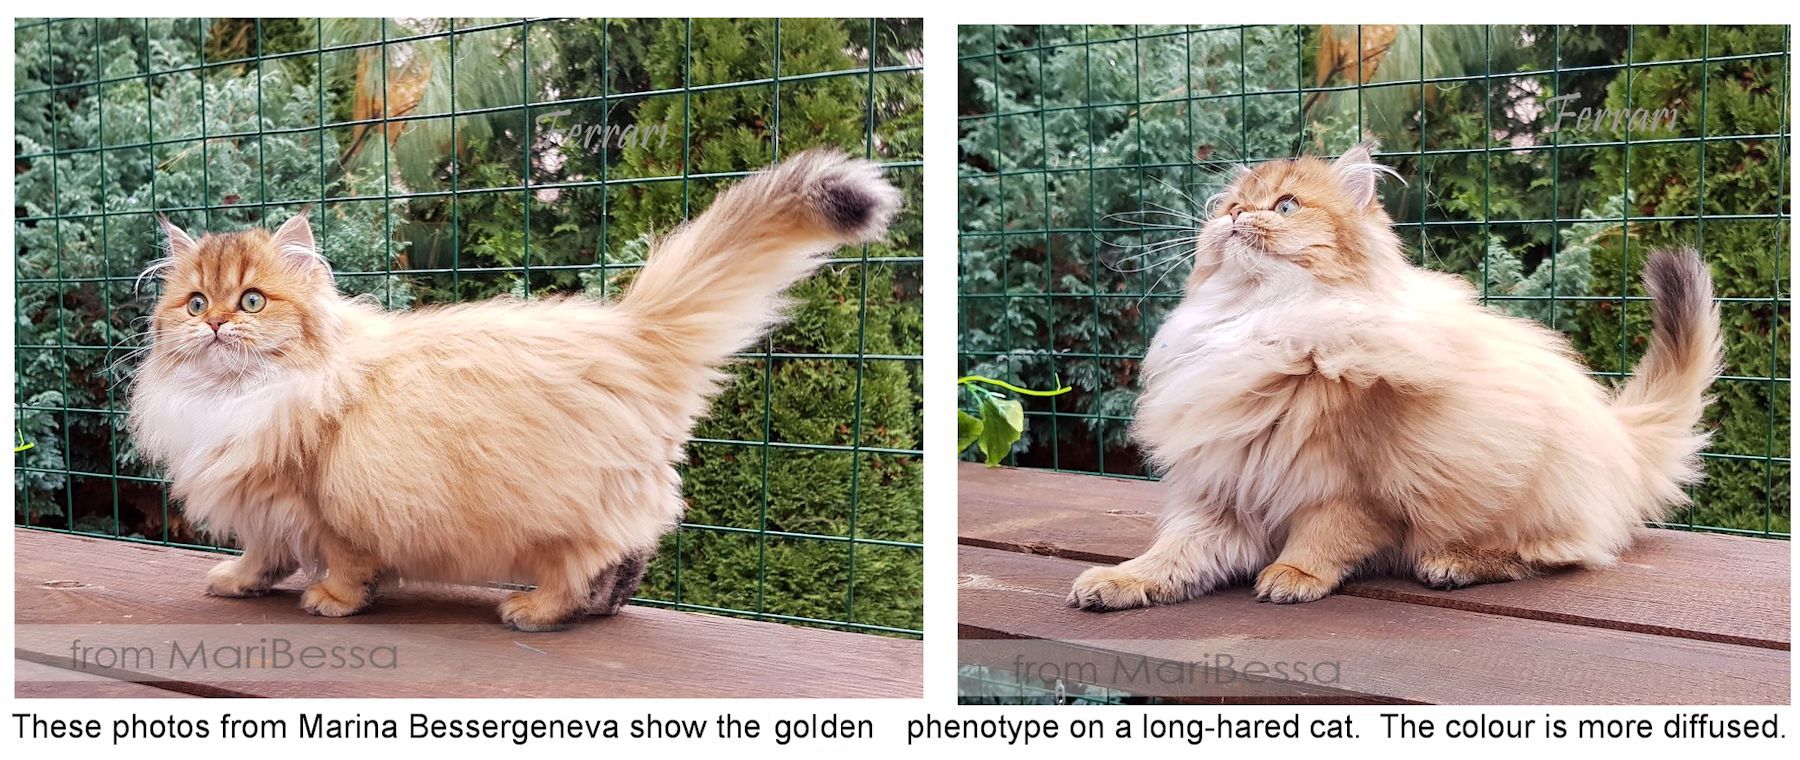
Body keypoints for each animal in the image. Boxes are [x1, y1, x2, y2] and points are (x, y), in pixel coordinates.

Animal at [126, 148, 900, 630]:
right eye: (195, 304)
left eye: (253, 302)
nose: (217, 325)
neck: (237, 399)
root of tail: (631, 334)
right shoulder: (264, 507)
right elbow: (264, 554)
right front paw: (239, 582)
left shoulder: (326, 502)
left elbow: (342, 561)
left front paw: (334, 600)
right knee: (627, 563)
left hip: (564, 517)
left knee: (589, 562)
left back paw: (536, 612)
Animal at [1065, 142, 1713, 612]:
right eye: (1228, 209)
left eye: (1285, 207)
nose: (1236, 217)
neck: (1262, 324)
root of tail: (1619, 436)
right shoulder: (1223, 489)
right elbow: (1173, 554)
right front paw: (1120, 582)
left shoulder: (1350, 486)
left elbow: (1326, 536)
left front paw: (1293, 575)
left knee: (1560, 554)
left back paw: (1454, 564)